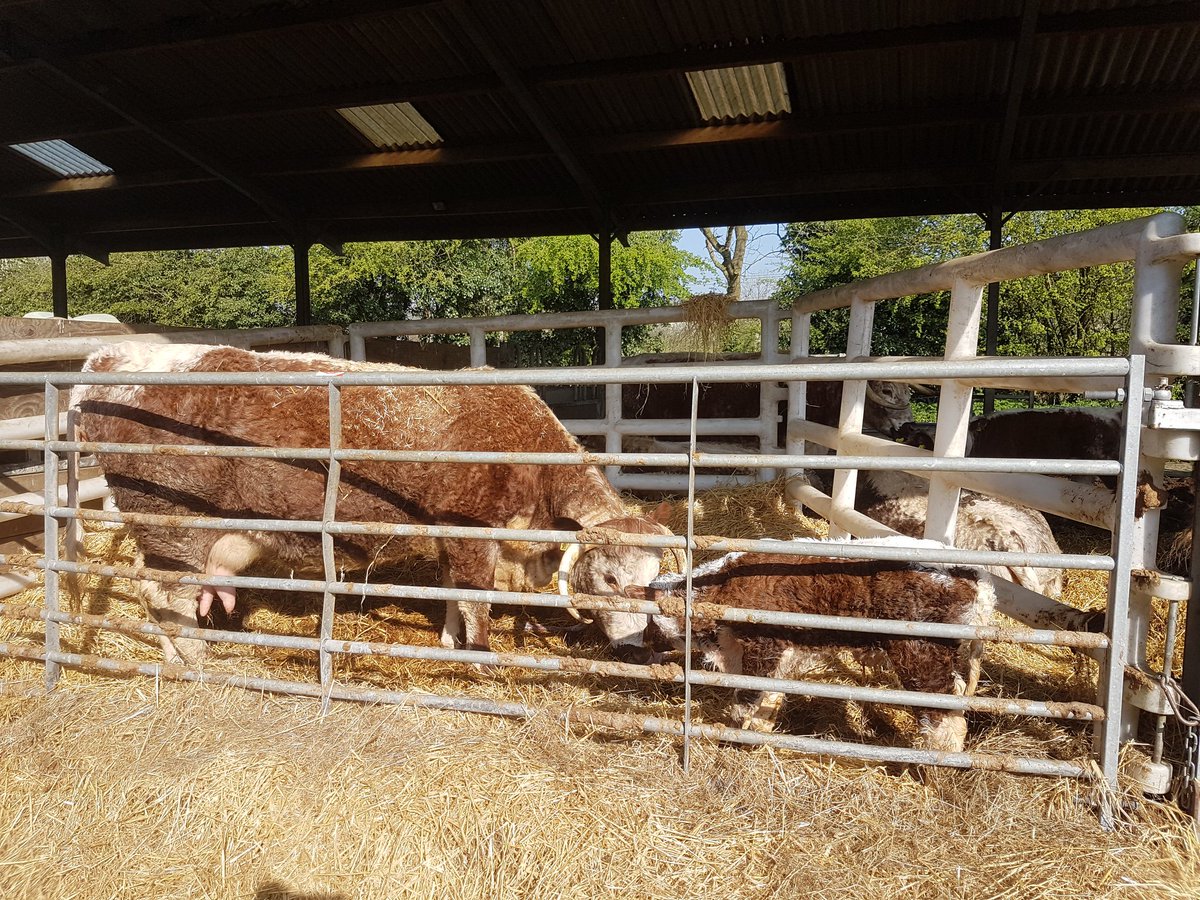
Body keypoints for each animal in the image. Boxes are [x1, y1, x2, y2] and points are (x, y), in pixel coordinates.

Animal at [71, 343, 673, 665]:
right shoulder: (474, 533)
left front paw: (448, 640)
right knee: (166, 594)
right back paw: (197, 661)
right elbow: (475, 601)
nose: (634, 649)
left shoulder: (447, 535)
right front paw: (478, 658)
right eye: (611, 579)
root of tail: (115, 355)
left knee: (154, 594)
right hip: (175, 526)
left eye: (653, 581)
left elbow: (450, 593)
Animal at [630, 536, 995, 752]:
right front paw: (756, 737)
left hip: (921, 655)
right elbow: (767, 702)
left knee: (943, 718)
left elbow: (745, 702)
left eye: (649, 619)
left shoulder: (764, 650)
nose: (643, 644)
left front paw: (735, 738)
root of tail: (975, 578)